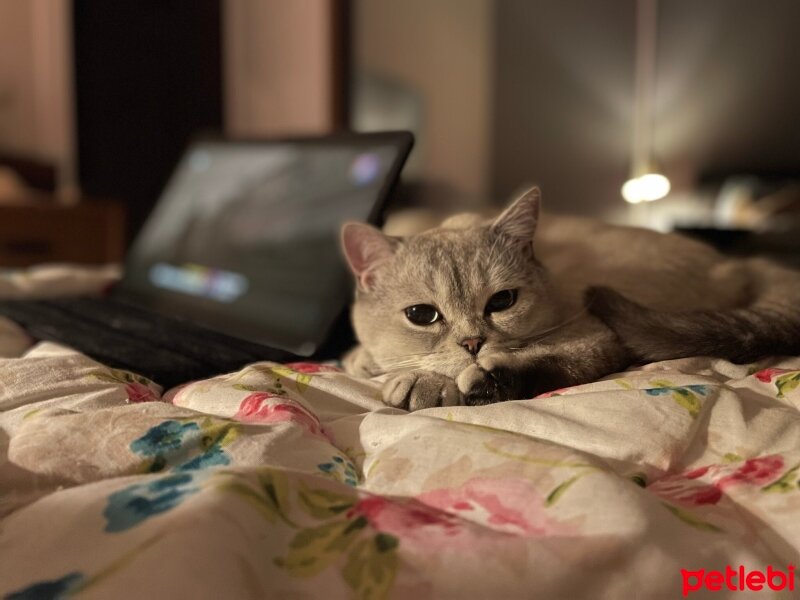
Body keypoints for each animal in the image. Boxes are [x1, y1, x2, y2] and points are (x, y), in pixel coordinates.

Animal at [340, 190, 800, 410]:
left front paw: (430, 383)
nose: (473, 344)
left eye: (502, 301)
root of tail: (741, 263)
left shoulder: (589, 333)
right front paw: (366, 360)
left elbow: (550, 360)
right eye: (421, 315)